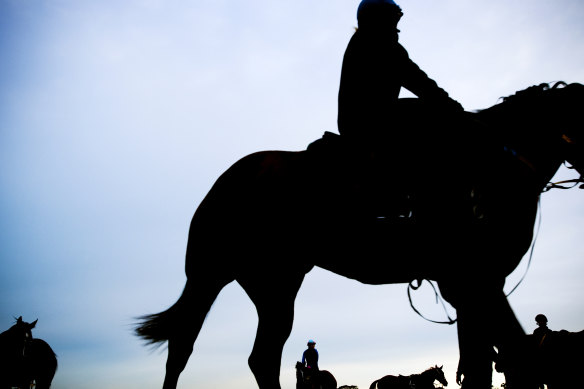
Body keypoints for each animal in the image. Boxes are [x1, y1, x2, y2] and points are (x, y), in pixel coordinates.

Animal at [137, 82, 584, 388]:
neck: (492, 167)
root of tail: (221, 185)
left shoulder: (475, 287)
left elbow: (482, 363)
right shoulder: (475, 281)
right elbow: (512, 354)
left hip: (272, 283)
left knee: (252, 355)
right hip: (211, 275)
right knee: (187, 346)